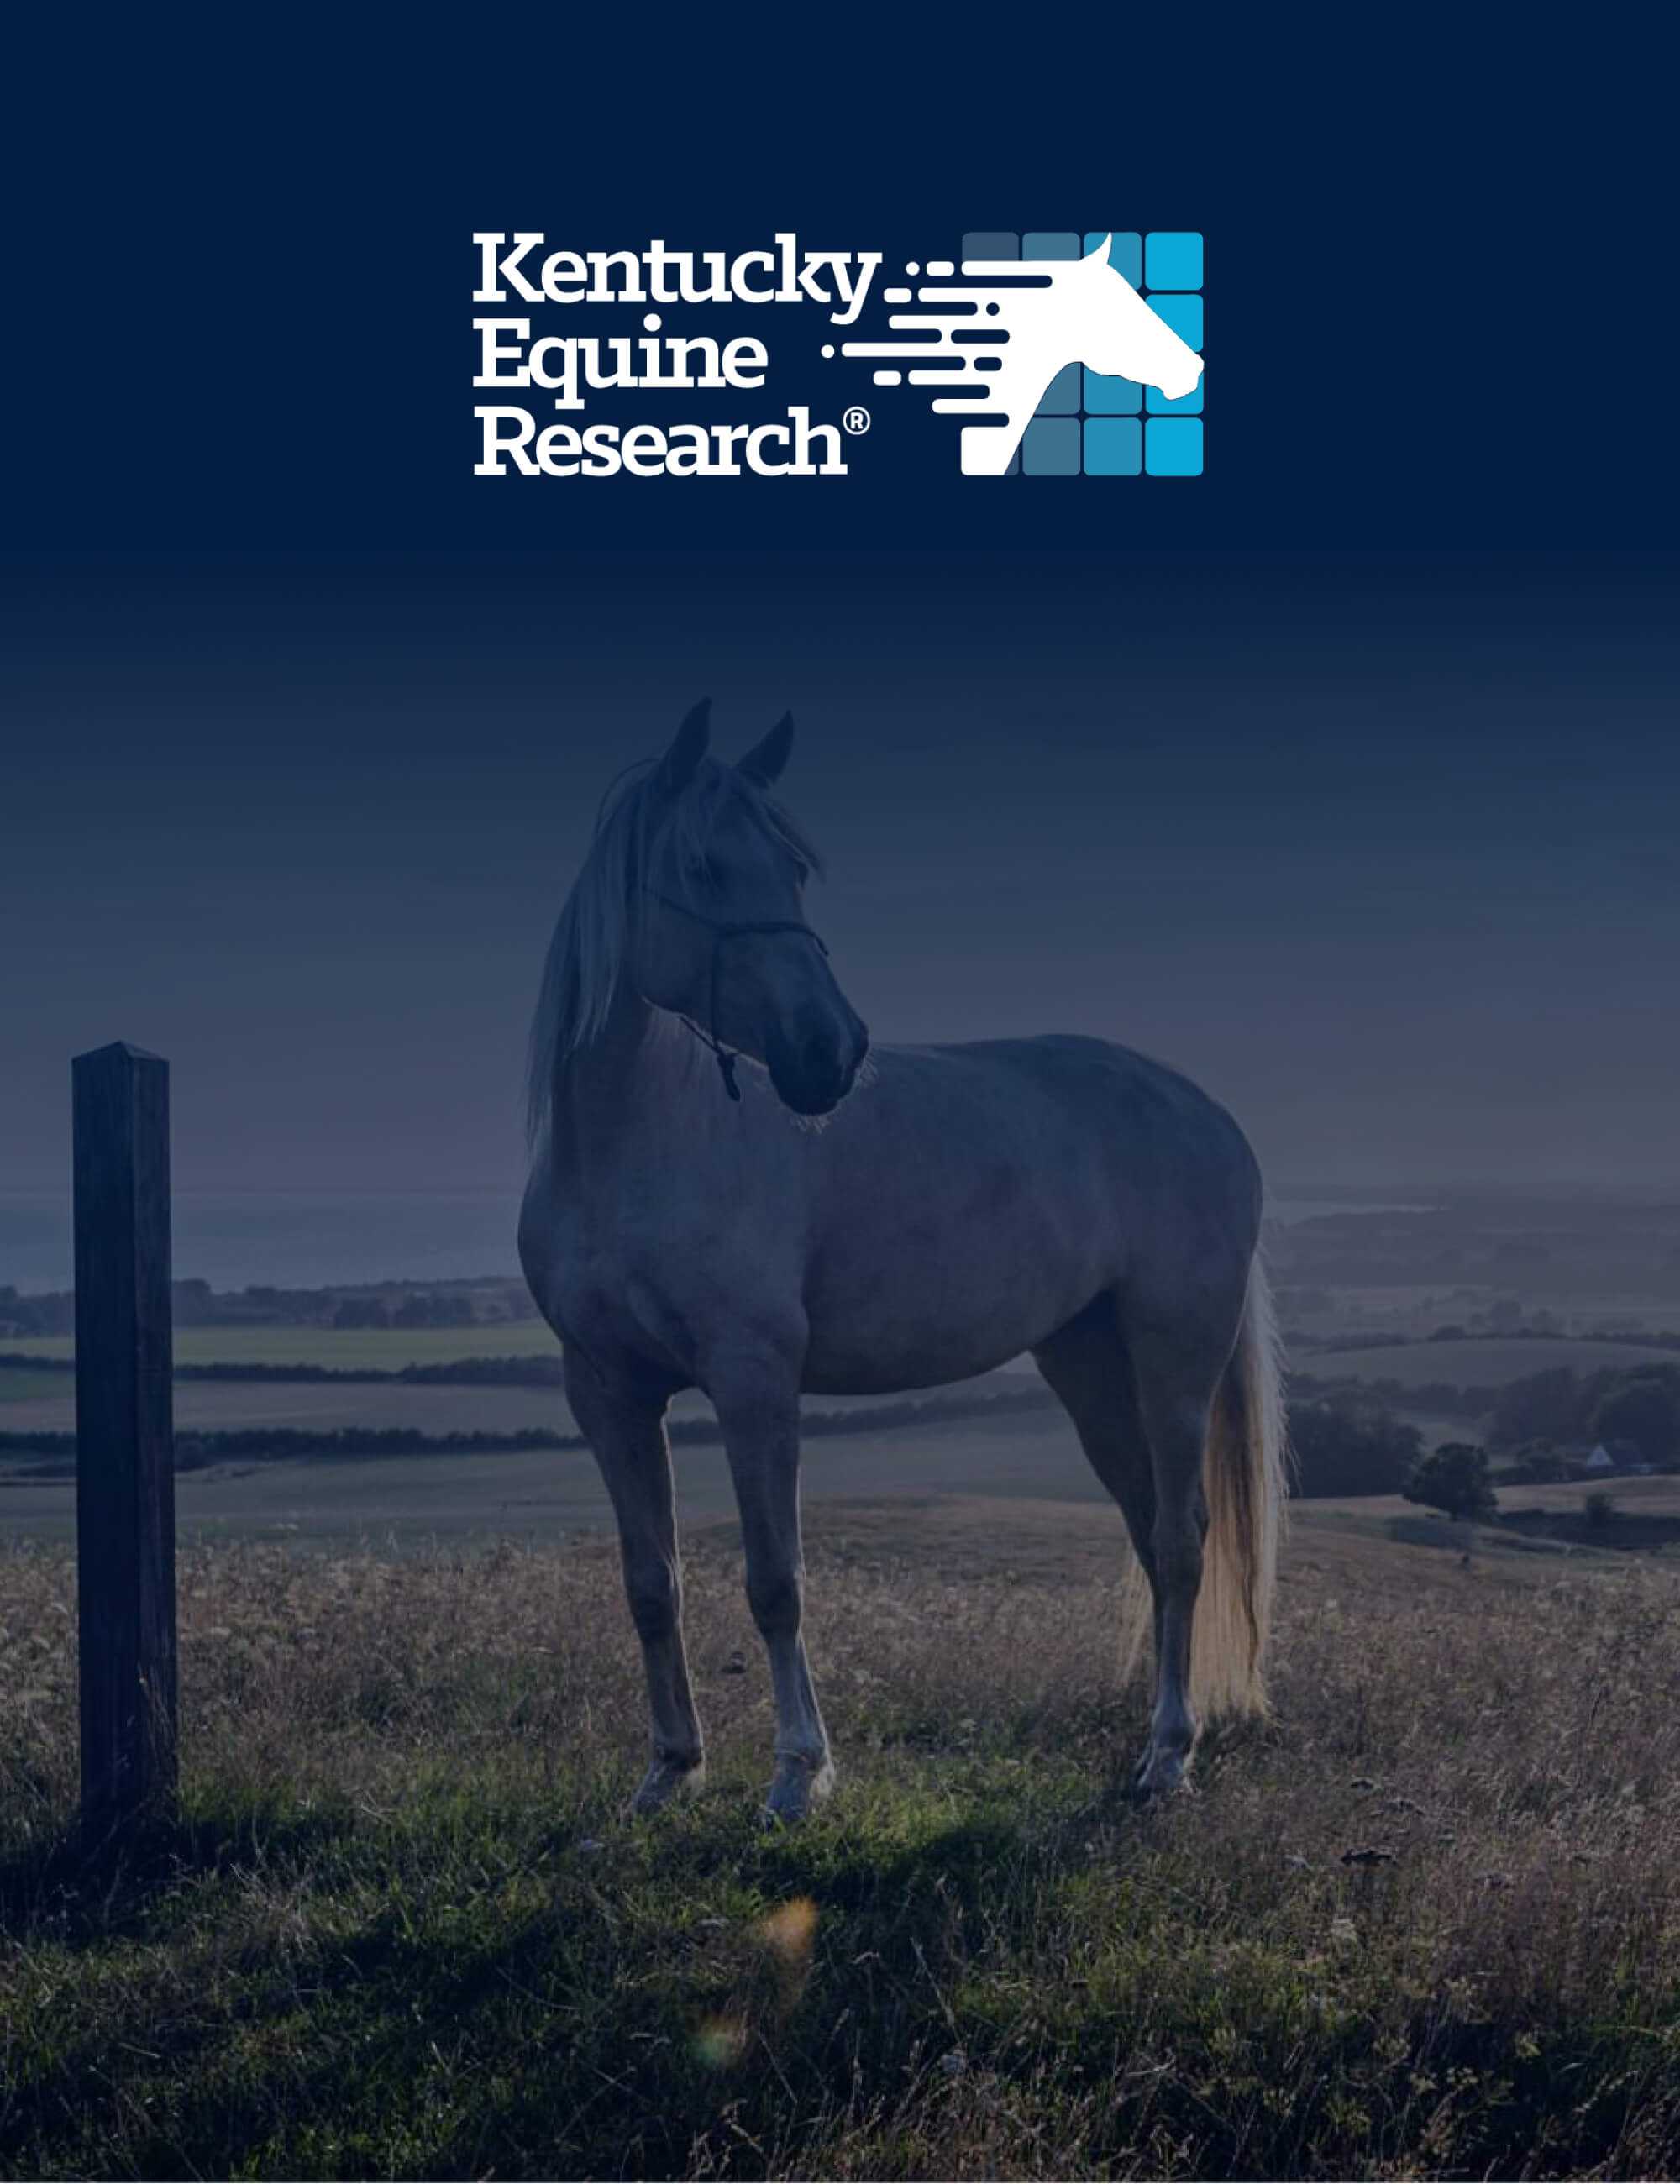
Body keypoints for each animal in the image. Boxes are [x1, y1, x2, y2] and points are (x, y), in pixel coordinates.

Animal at [518, 701, 1285, 1822]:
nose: (829, 1049)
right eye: (701, 865)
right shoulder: (607, 1391)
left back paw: (1167, 1754)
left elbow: (774, 1580)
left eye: (792, 869)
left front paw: (798, 1774)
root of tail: (1208, 1113)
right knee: (1151, 1536)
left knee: (1184, 1541)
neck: (633, 1143)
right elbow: (650, 1584)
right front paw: (667, 1770)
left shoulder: (753, 1382)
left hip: (1172, 1362)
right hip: (1090, 1366)